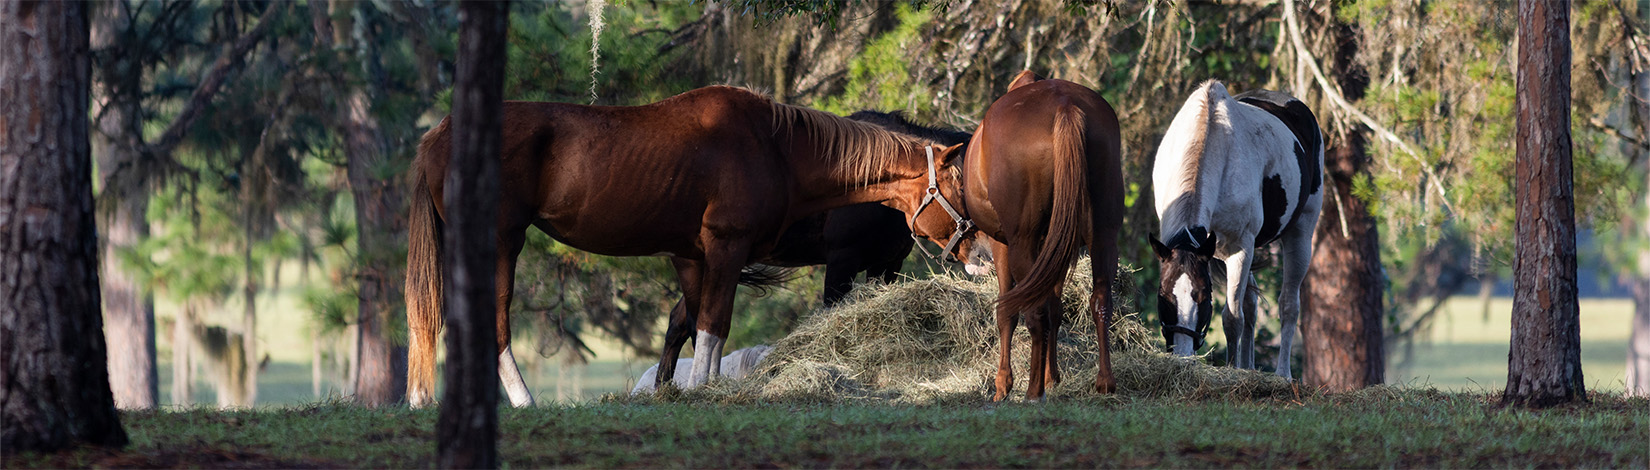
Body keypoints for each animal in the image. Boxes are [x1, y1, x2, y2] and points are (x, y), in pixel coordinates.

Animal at [405, 86, 968, 407]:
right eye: (961, 184)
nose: (979, 253)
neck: (776, 146)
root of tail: (440, 134)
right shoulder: (731, 249)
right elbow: (712, 326)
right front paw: (700, 391)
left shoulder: (699, 258)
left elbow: (703, 329)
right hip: (502, 244)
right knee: (495, 327)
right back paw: (524, 403)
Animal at [907, 71, 1125, 401]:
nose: (974, 248)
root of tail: (1064, 105)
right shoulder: (1054, 248)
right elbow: (1055, 306)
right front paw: (1052, 377)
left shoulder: (1004, 245)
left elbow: (1007, 311)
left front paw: (1004, 384)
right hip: (1104, 235)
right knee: (1100, 301)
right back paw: (1104, 383)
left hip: (1021, 243)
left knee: (1033, 311)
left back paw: (1033, 391)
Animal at [1148, 79, 1323, 378]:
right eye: (1163, 296)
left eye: (1203, 296)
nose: (1183, 357)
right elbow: (1244, 311)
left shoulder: (1240, 247)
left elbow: (1232, 318)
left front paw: (1231, 369)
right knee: (1251, 305)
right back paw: (1249, 367)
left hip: (1300, 233)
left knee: (1288, 305)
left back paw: (1283, 374)